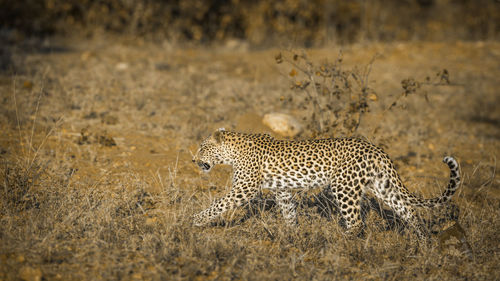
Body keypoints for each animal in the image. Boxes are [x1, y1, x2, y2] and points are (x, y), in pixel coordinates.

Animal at [191, 127, 460, 238]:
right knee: (408, 210)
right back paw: (424, 242)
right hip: (382, 186)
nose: (193, 159)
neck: (232, 152)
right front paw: (292, 233)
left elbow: (219, 204)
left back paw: (342, 240)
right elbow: (288, 212)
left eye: (203, 148)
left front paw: (196, 220)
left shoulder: (244, 189)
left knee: (356, 222)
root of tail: (376, 149)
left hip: (344, 187)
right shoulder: (282, 190)